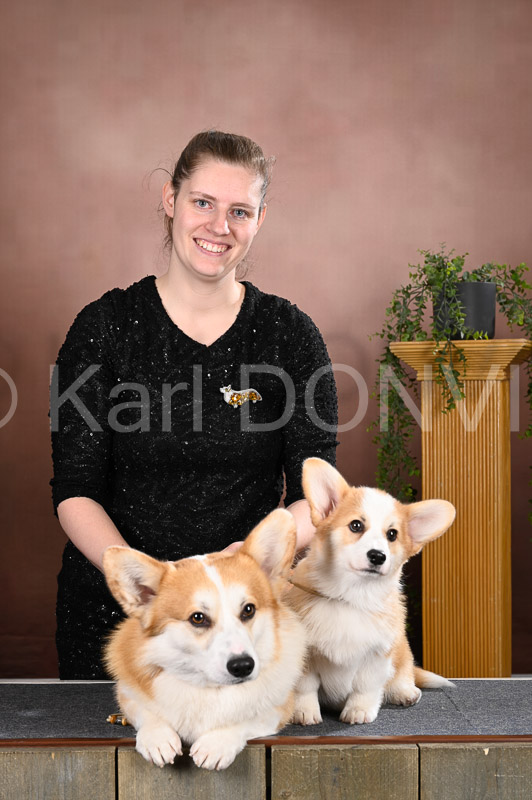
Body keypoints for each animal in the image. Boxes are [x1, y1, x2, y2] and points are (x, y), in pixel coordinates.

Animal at [102, 508, 306, 770]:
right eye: (198, 618)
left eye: (248, 610)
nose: (243, 666)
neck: (209, 688)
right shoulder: (129, 695)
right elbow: (146, 713)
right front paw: (156, 738)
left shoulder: (277, 709)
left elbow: (246, 716)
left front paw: (217, 744)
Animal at [287, 458, 456, 726]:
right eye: (356, 525)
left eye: (392, 535)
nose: (378, 556)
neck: (350, 596)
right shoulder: (306, 655)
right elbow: (306, 686)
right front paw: (304, 712)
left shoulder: (378, 655)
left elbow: (365, 687)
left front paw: (359, 711)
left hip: (402, 652)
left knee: (404, 673)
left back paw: (405, 692)